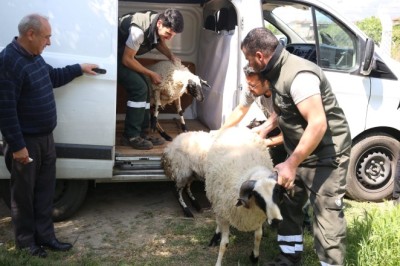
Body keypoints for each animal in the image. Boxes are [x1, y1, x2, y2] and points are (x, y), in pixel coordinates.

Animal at [205, 127, 282, 266]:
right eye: (257, 195)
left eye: (277, 191)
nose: (276, 220)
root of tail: (238, 127)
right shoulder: (225, 215)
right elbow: (224, 244)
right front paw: (218, 262)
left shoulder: (258, 218)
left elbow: (258, 236)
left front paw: (255, 257)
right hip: (215, 200)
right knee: (217, 219)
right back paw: (215, 236)